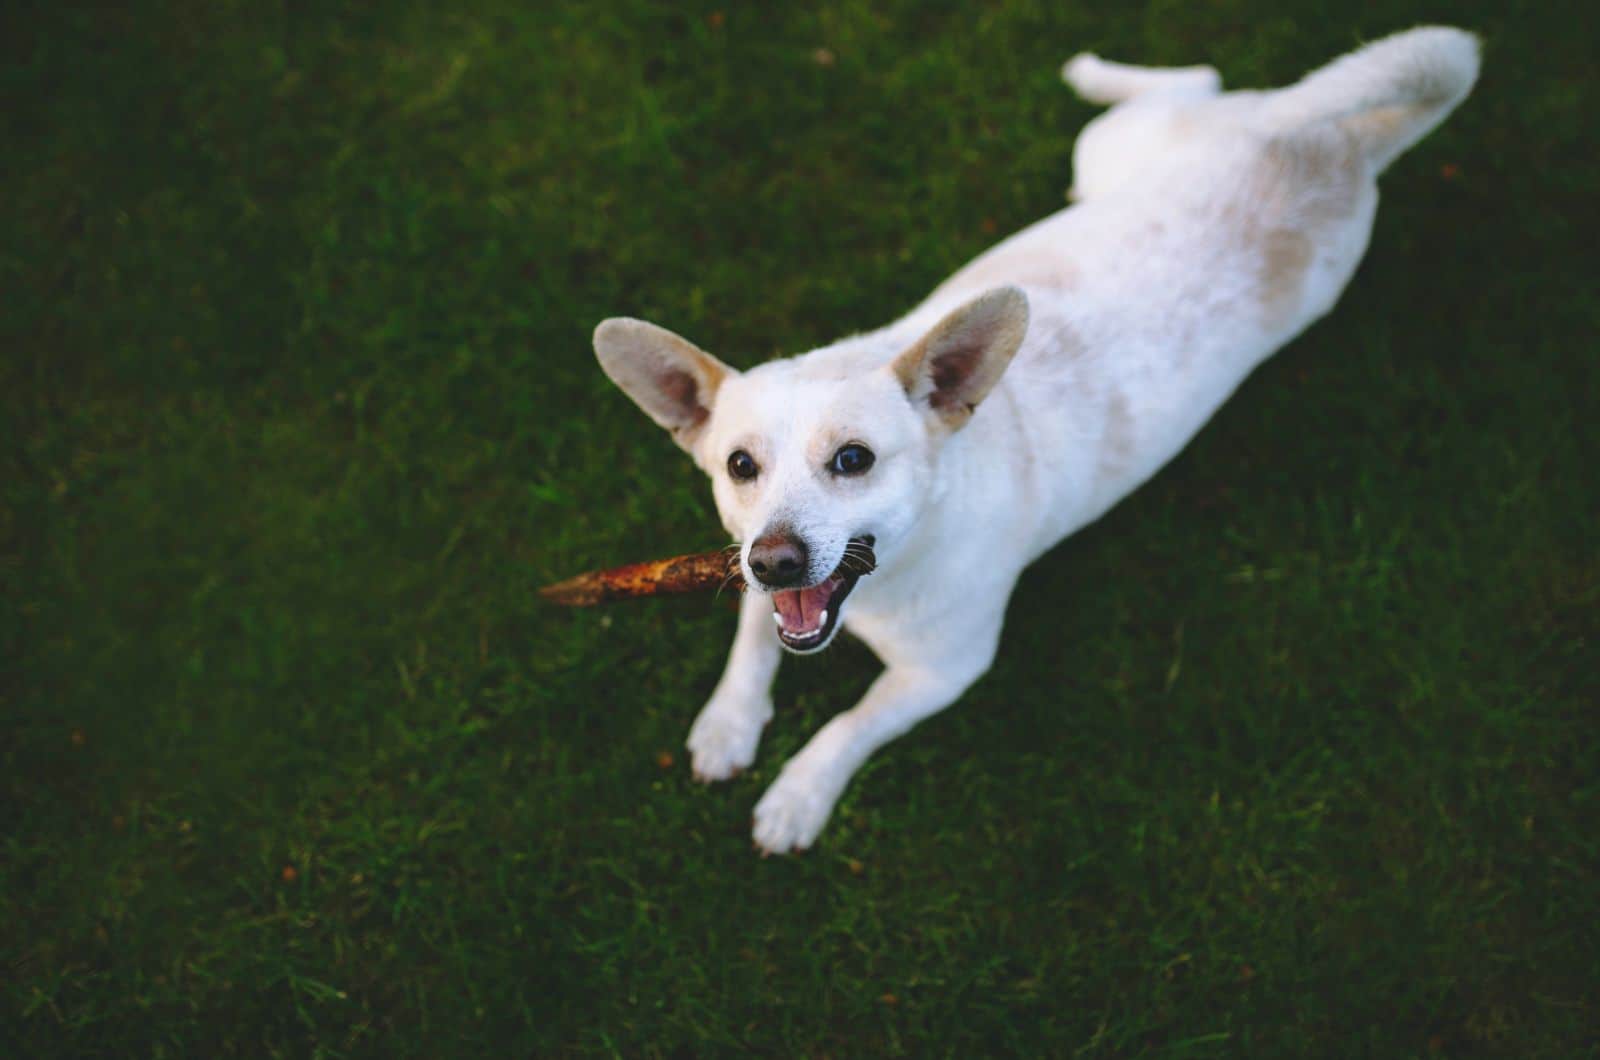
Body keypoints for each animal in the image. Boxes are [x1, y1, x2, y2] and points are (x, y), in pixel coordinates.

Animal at [595, 24, 1478, 858]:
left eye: (853, 460)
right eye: (739, 466)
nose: (776, 560)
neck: (892, 575)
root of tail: (1336, 140)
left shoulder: (944, 673)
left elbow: (851, 723)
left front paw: (799, 794)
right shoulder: (750, 569)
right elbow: (752, 637)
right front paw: (729, 723)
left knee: (1195, 76)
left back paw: (1092, 70)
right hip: (1122, 155)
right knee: (1198, 81)